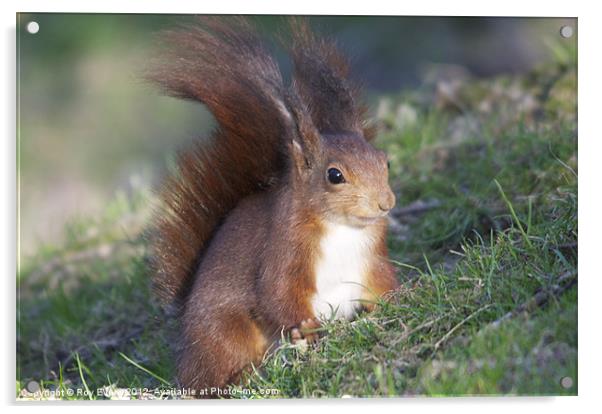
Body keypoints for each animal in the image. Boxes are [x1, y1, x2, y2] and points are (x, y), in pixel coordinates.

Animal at [146, 17, 398, 396]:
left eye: (384, 162)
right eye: (334, 175)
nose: (386, 203)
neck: (343, 228)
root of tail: (186, 357)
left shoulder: (371, 256)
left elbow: (381, 282)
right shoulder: (284, 249)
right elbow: (276, 293)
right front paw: (305, 328)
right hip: (227, 333)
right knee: (217, 371)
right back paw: (245, 375)